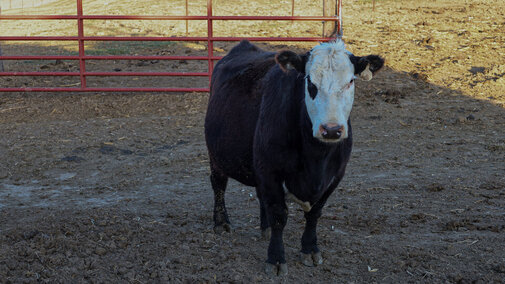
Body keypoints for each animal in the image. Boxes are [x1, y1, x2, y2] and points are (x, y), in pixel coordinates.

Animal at [204, 39, 382, 276]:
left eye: (350, 82)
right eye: (310, 83)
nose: (331, 130)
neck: (316, 159)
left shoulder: (335, 175)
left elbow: (314, 214)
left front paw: (310, 249)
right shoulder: (270, 171)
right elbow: (279, 215)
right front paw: (276, 259)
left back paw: (265, 228)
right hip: (216, 157)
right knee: (218, 185)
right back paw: (221, 223)